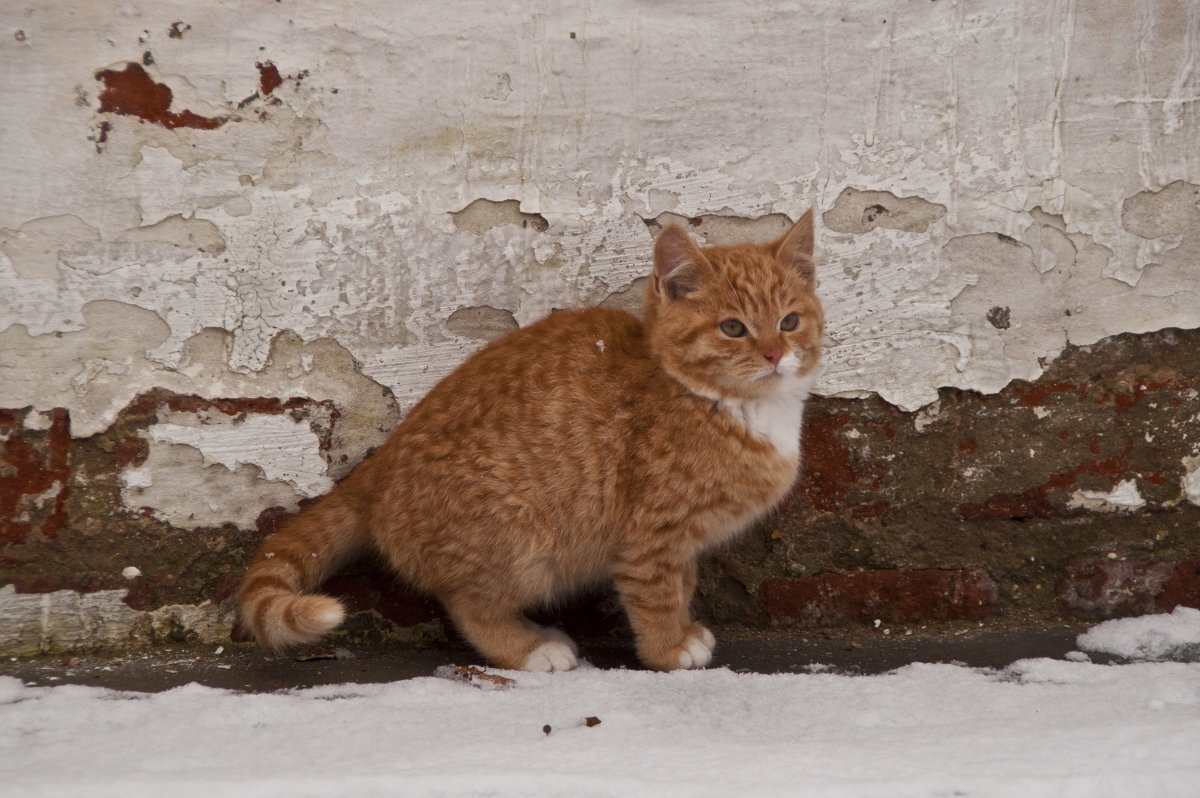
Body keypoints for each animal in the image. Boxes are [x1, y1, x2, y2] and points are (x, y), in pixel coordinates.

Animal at [241, 208, 825, 667]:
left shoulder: (682, 543)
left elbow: (681, 585)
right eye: (733, 329)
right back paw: (527, 648)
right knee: (470, 604)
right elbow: (655, 594)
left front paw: (684, 630)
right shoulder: (649, 535)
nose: (775, 354)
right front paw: (668, 648)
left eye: (790, 321)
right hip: (518, 537)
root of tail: (378, 465)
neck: (725, 403)